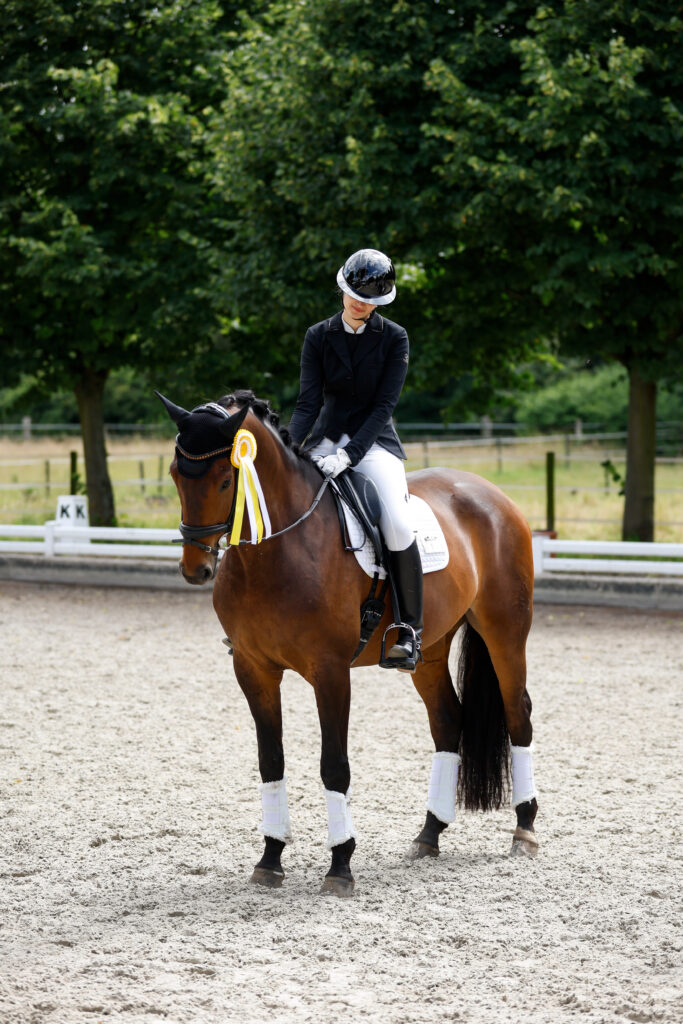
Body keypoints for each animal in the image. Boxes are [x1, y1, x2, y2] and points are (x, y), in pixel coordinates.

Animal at [160, 391, 540, 897]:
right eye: (175, 474)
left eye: (226, 478)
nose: (196, 569)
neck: (278, 550)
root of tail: (493, 494)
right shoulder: (253, 669)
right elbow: (271, 761)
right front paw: (270, 858)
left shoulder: (330, 672)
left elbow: (333, 766)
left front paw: (340, 865)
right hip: (430, 649)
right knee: (447, 722)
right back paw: (429, 834)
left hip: (505, 630)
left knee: (518, 713)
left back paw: (525, 828)